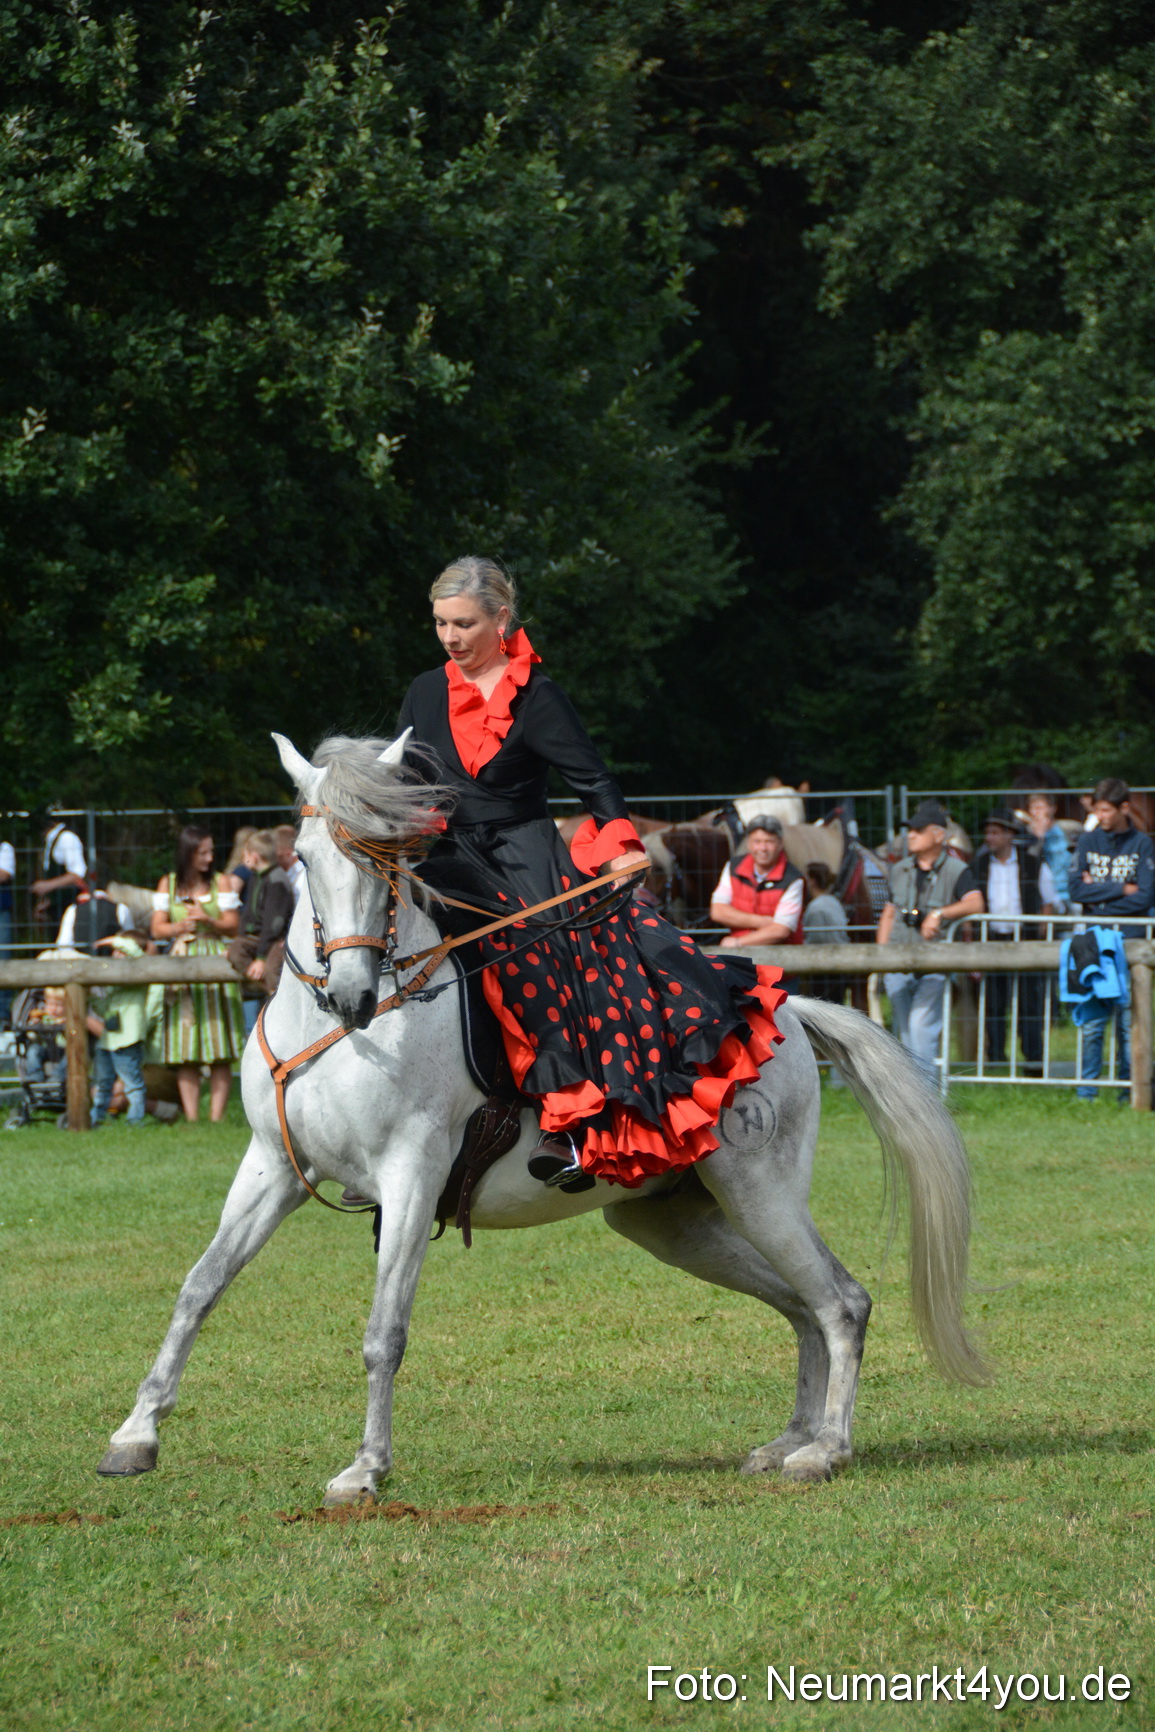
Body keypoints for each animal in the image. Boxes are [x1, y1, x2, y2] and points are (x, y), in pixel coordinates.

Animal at [97, 732, 989, 1505]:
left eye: (392, 865)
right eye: (304, 858)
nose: (350, 995)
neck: (351, 1033)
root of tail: (785, 1009)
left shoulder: (410, 1173)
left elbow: (385, 1330)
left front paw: (364, 1470)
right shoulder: (273, 1167)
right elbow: (198, 1288)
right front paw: (135, 1436)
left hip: (759, 1194)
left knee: (841, 1303)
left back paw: (825, 1450)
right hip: (674, 1222)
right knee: (801, 1306)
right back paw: (787, 1441)